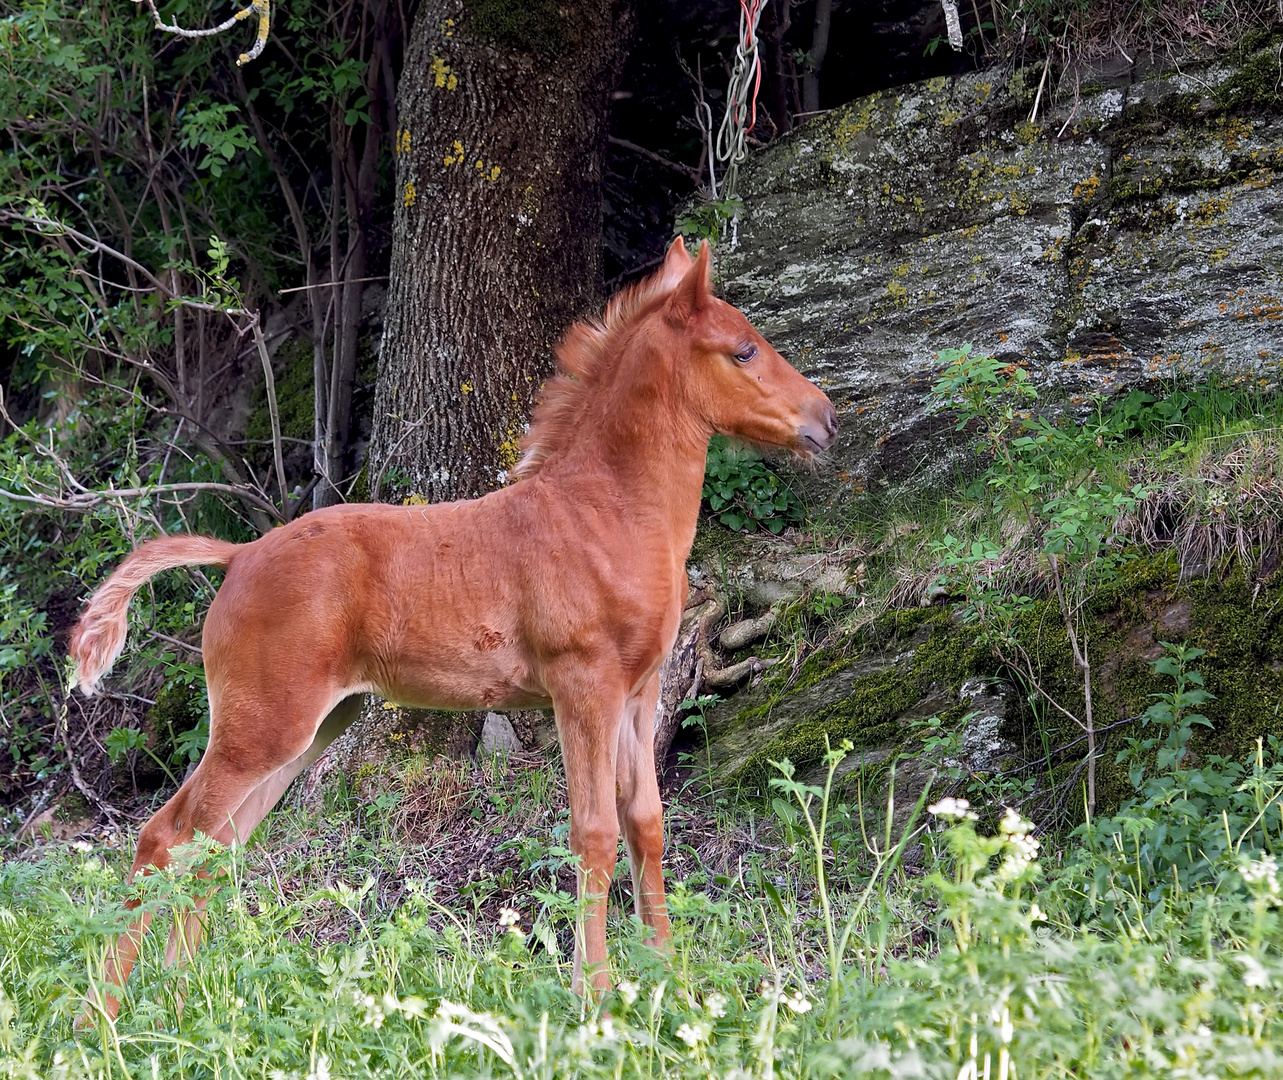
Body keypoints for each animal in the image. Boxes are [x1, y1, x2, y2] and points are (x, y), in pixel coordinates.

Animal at [75, 233, 841, 1010]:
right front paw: (591, 995)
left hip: (307, 729)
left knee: (212, 848)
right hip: (263, 726)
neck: (609, 513)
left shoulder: (641, 688)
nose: (825, 418)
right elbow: (592, 832)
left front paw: (667, 981)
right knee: (165, 837)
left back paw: (183, 997)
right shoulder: (583, 687)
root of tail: (240, 556)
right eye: (742, 350)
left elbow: (645, 824)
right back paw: (102, 1016)